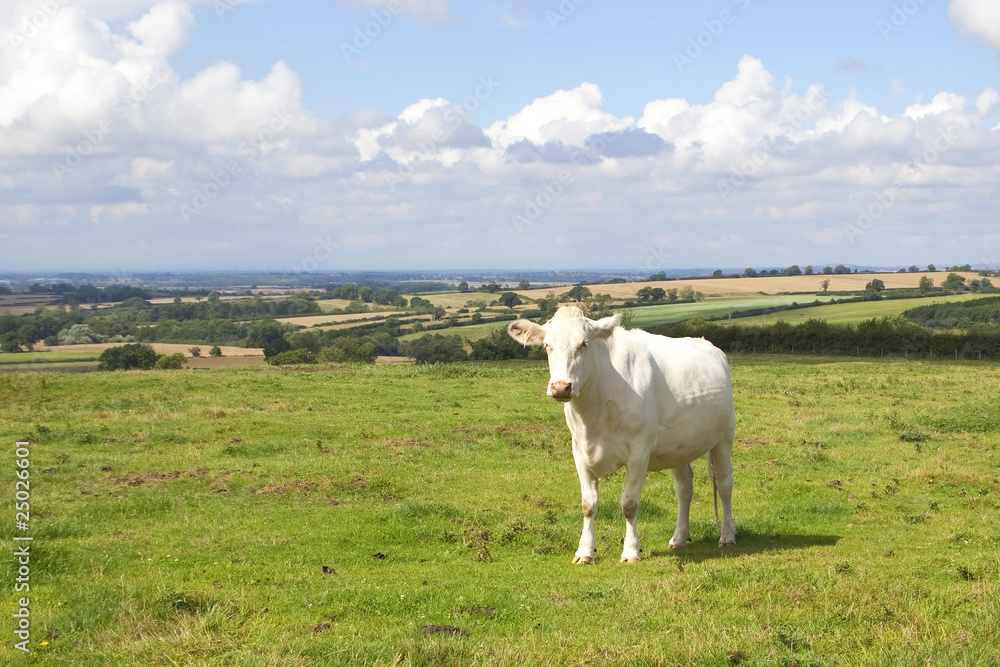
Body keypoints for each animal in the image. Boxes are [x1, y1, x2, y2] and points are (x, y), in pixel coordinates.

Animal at [507, 306, 736, 564]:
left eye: (584, 344)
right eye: (547, 345)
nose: (561, 387)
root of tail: (708, 344)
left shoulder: (639, 453)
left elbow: (629, 504)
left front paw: (631, 551)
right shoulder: (579, 451)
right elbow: (588, 504)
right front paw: (584, 551)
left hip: (724, 437)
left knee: (725, 484)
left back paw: (727, 536)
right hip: (677, 446)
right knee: (684, 488)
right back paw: (679, 538)